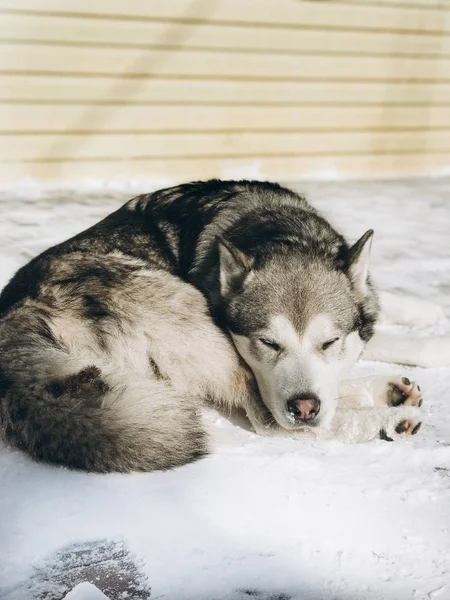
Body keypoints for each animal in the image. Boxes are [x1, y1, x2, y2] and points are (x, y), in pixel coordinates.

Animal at [0, 180, 424, 472]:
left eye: (330, 342)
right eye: (268, 343)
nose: (304, 407)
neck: (282, 232)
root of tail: (16, 314)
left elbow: (376, 311)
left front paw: (422, 312)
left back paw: (387, 392)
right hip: (196, 317)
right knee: (273, 421)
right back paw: (388, 421)